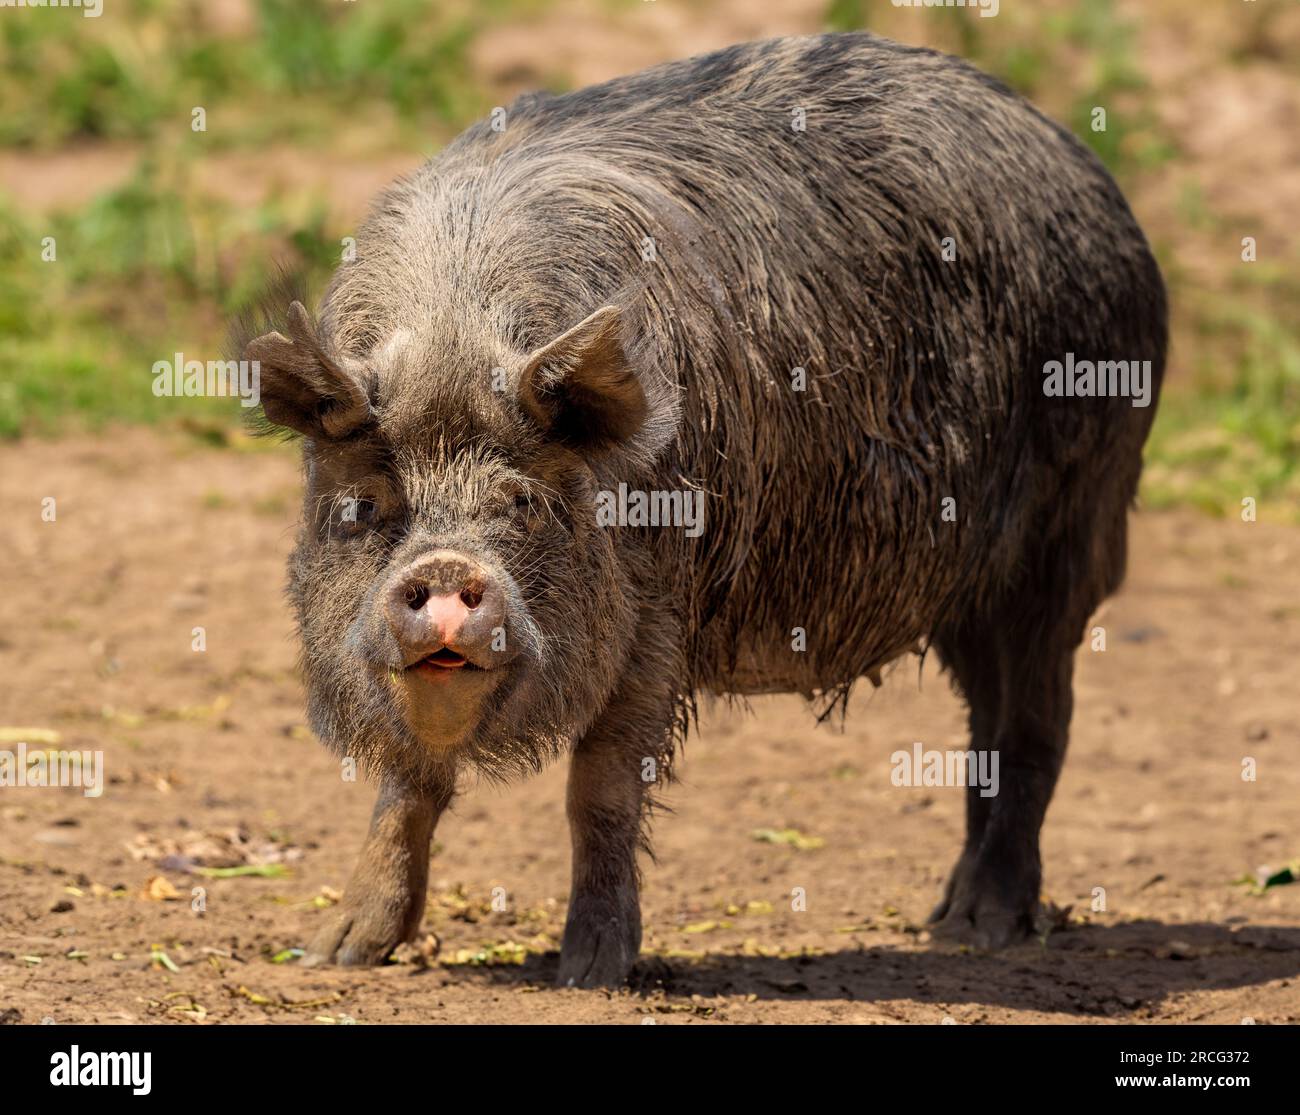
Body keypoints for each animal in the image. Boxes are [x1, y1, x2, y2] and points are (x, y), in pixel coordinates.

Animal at [239, 31, 1166, 987]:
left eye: (523, 500)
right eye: (363, 504)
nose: (447, 568)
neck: (455, 336)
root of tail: (1084, 166)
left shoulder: (659, 597)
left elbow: (601, 786)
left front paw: (590, 972)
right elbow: (406, 783)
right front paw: (336, 954)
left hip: (1072, 528)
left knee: (1039, 720)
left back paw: (982, 930)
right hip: (968, 590)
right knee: (985, 720)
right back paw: (943, 920)